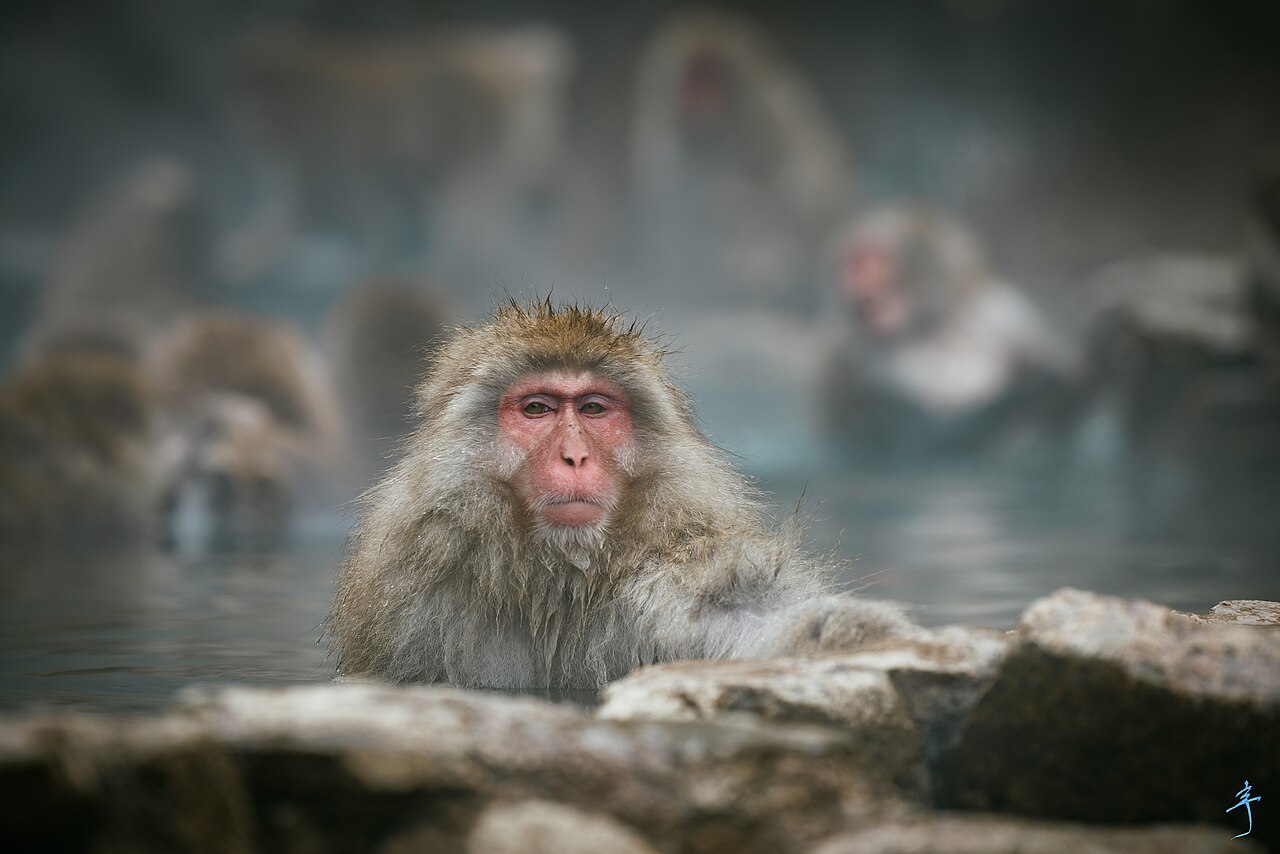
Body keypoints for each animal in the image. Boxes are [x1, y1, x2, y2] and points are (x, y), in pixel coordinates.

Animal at [331, 299, 913, 690]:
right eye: (538, 409)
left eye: (593, 409)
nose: (574, 456)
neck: (555, 589)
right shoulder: (411, 608)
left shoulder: (672, 577)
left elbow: (747, 605)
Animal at [630, 8, 852, 312]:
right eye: (690, 80)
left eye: (708, 80)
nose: (694, 97)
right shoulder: (664, 134)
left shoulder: (762, 116)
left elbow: (798, 174)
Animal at [821, 204, 1084, 460]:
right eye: (850, 265)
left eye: (865, 260)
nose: (848, 277)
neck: (932, 329)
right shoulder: (865, 363)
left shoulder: (1002, 317)